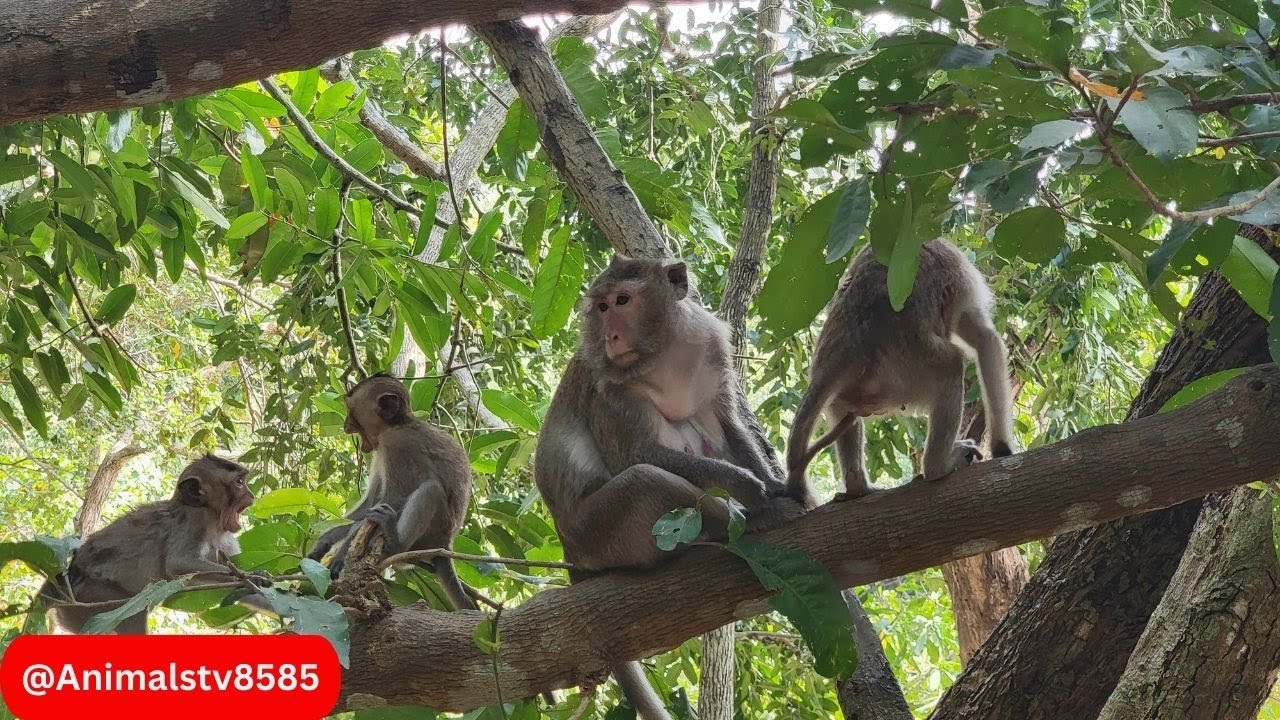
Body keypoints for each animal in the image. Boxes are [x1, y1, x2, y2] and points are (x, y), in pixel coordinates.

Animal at [39, 455, 268, 634]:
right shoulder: (191, 523)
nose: (251, 496)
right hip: (90, 597)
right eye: (239, 483)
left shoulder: (227, 542)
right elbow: (179, 563)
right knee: (131, 614)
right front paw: (252, 576)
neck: (213, 521)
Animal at [306, 374, 477, 612]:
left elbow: (393, 498)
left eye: (352, 414)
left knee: (431, 490)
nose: (346, 426)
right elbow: (370, 503)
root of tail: (446, 545)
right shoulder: (381, 451)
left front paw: (342, 554)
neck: (396, 424)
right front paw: (324, 542)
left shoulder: (398, 446)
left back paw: (396, 542)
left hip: (434, 533)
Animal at [535, 255, 808, 720]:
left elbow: (728, 426)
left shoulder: (714, 352)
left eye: (622, 301)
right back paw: (745, 524)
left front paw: (772, 483)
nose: (610, 336)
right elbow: (634, 458)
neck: (663, 354)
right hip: (599, 532)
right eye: (602, 307)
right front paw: (751, 490)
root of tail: (570, 552)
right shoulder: (607, 386)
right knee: (644, 481)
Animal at [785, 238, 1016, 506]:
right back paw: (937, 466)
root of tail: (846, 347)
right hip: (906, 371)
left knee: (841, 407)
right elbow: (985, 339)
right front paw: (1003, 448)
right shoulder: (960, 276)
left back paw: (856, 486)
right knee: (950, 366)